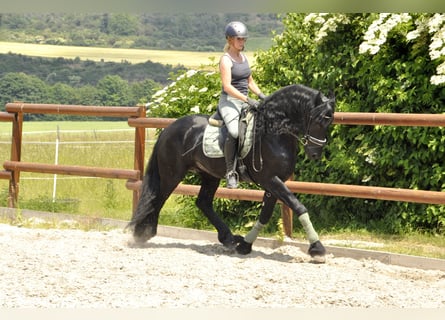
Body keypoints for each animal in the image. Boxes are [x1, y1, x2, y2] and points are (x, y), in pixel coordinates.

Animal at [127, 84, 332, 258]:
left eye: (329, 122)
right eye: (318, 120)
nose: (315, 153)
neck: (273, 132)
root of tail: (169, 128)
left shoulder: (274, 182)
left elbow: (265, 215)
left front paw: (245, 246)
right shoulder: (270, 179)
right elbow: (298, 206)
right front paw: (317, 248)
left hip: (209, 175)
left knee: (203, 202)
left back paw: (229, 239)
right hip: (172, 175)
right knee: (158, 198)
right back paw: (143, 233)